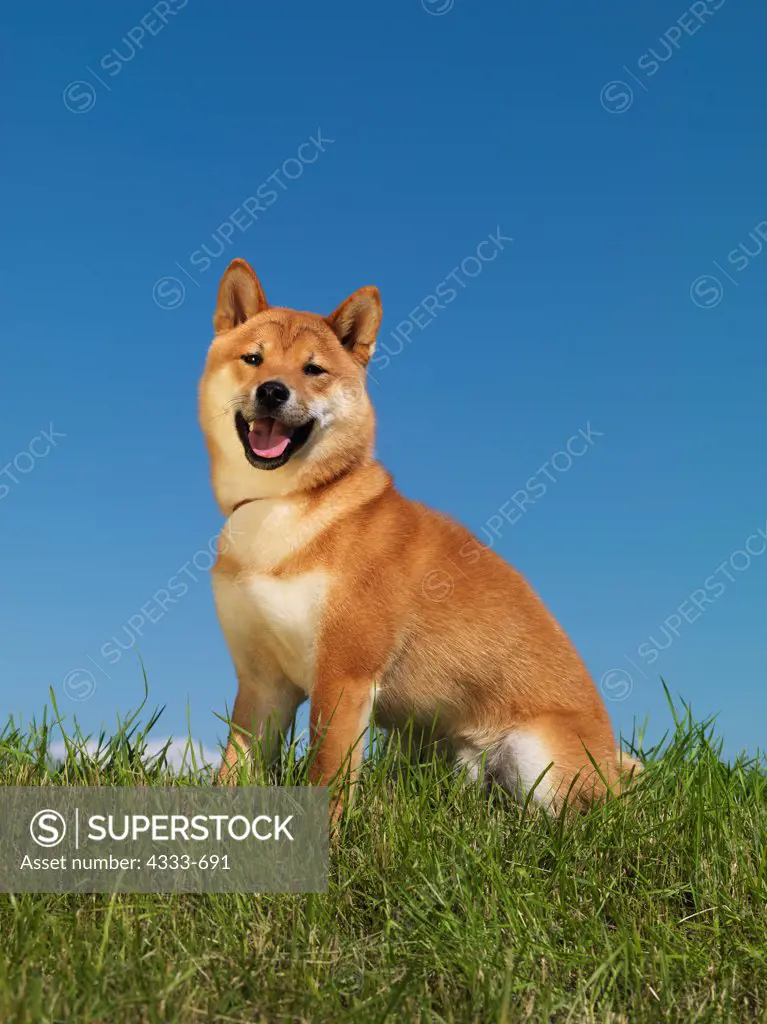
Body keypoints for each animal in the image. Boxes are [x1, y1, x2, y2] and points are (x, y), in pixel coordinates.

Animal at [198, 260, 638, 819]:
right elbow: (235, 772)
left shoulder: (344, 675)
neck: (285, 505)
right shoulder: (261, 684)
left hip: (538, 756)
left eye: (313, 370)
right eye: (253, 359)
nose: (273, 390)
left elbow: (328, 776)